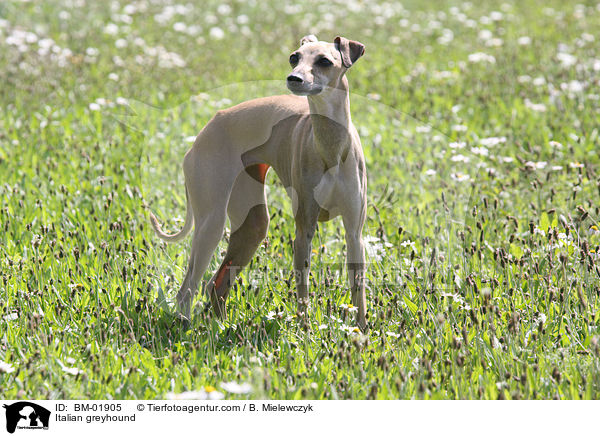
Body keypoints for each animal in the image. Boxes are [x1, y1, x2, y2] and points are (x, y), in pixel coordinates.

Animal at [148, 35, 368, 328]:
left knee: (216, 284)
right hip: (211, 223)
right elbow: (303, 292)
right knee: (188, 288)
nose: (294, 78)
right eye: (294, 57)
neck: (330, 148)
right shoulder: (304, 231)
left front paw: (362, 332)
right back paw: (185, 326)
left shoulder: (354, 233)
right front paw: (305, 330)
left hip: (252, 224)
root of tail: (204, 132)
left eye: (324, 61)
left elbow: (358, 291)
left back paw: (221, 327)